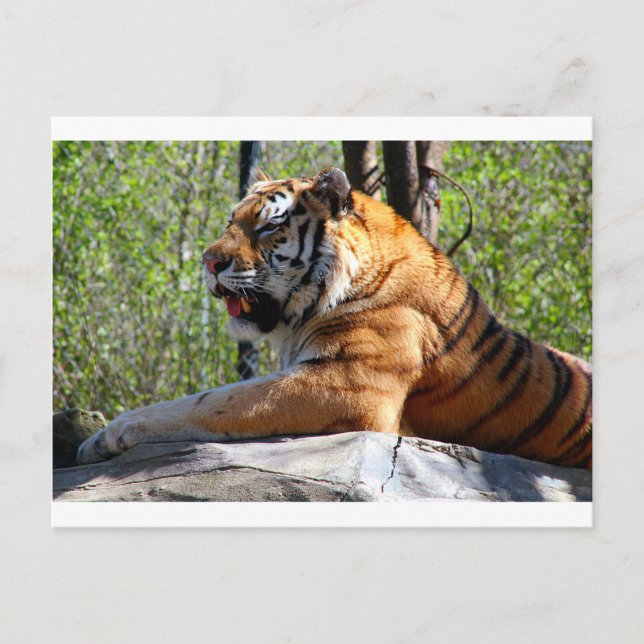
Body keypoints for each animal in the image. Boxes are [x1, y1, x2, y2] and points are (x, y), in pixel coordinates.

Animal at [76, 166, 592, 469]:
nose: (209, 262)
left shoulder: (348, 385)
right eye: (231, 220)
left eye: (268, 226)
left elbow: (212, 401)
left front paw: (110, 434)